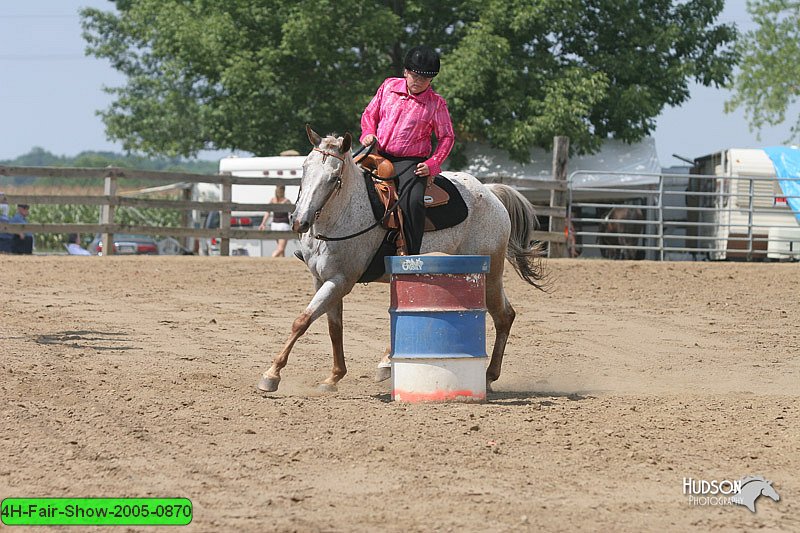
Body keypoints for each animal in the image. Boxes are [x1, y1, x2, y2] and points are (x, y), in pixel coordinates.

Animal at [260, 127, 548, 392]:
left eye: (334, 178)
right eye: (304, 169)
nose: (300, 221)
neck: (344, 215)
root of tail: (489, 193)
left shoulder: (341, 280)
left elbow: (302, 321)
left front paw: (272, 375)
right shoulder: (322, 279)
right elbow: (333, 327)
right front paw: (333, 377)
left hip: (490, 273)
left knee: (504, 316)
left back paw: (488, 376)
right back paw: (388, 362)